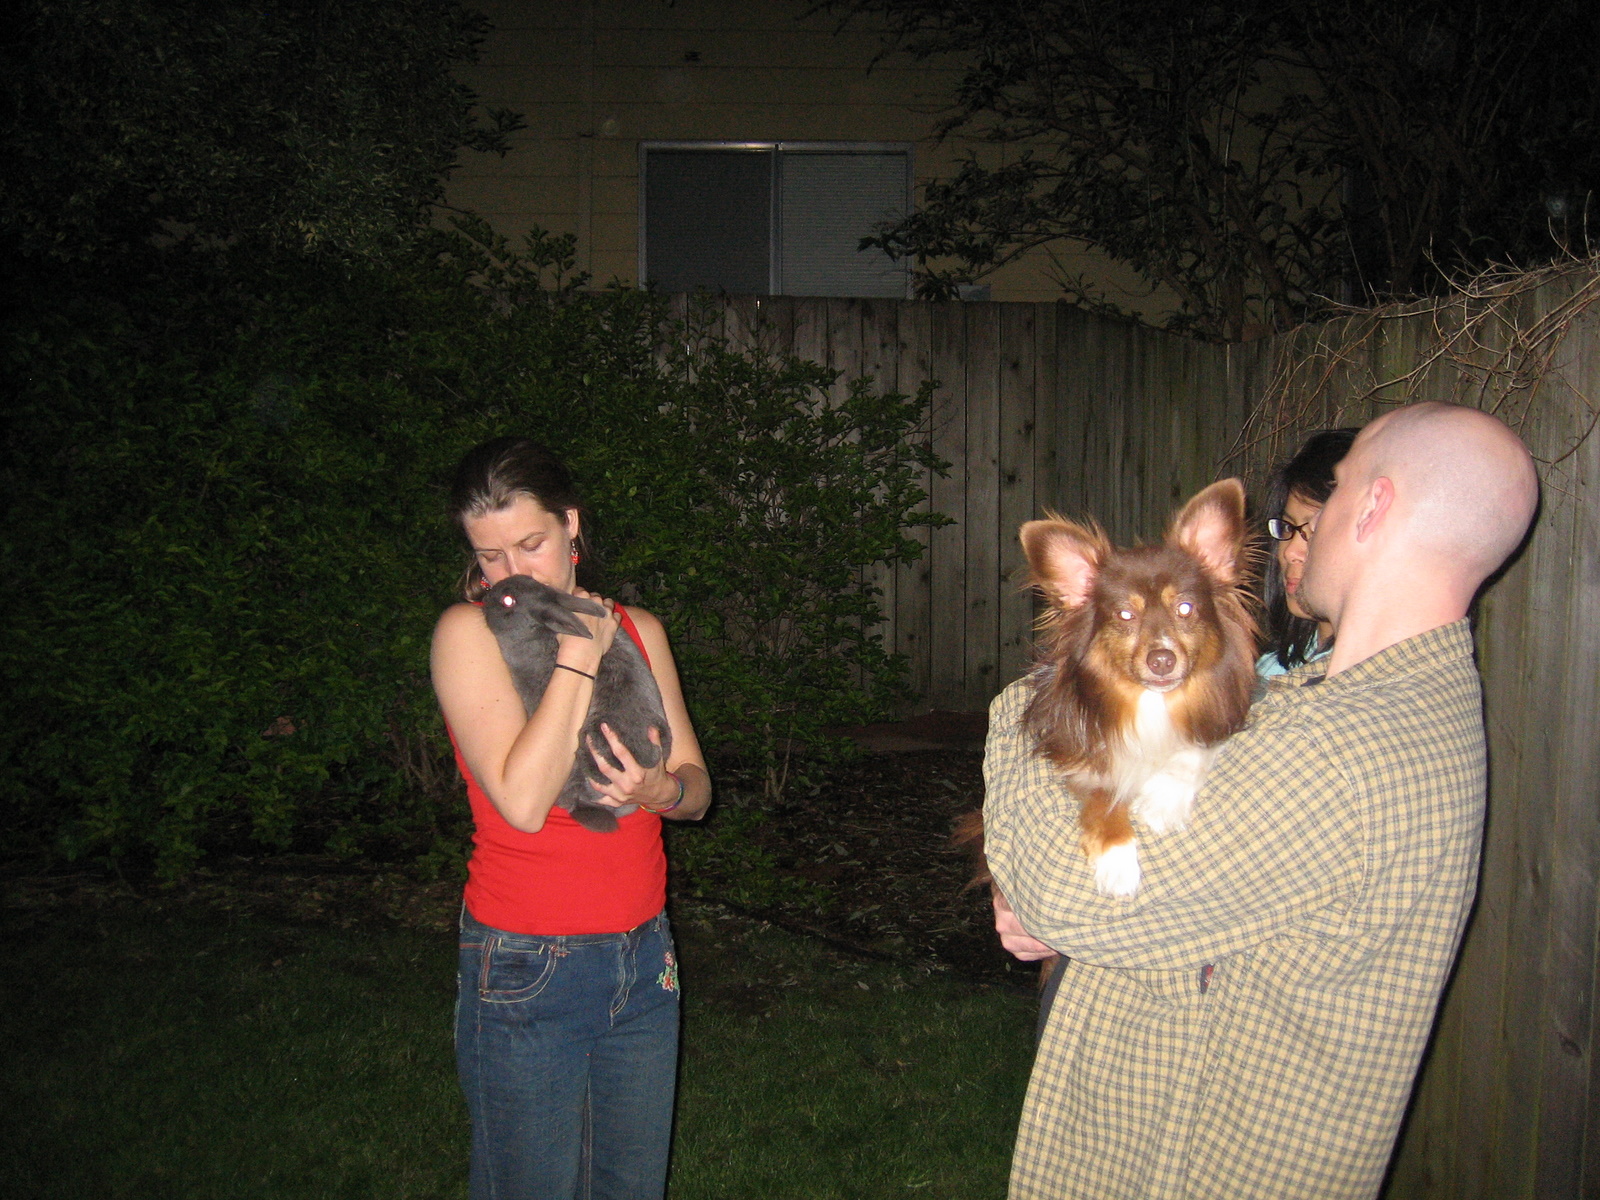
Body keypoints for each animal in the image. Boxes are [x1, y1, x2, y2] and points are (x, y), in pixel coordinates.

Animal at [959, 479, 1257, 901]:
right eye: (1125, 615)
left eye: (1185, 609)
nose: (1162, 660)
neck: (1152, 703)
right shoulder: (1077, 756)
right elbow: (1104, 794)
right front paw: (1116, 862)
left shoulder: (1225, 716)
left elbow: (1196, 745)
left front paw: (1164, 800)